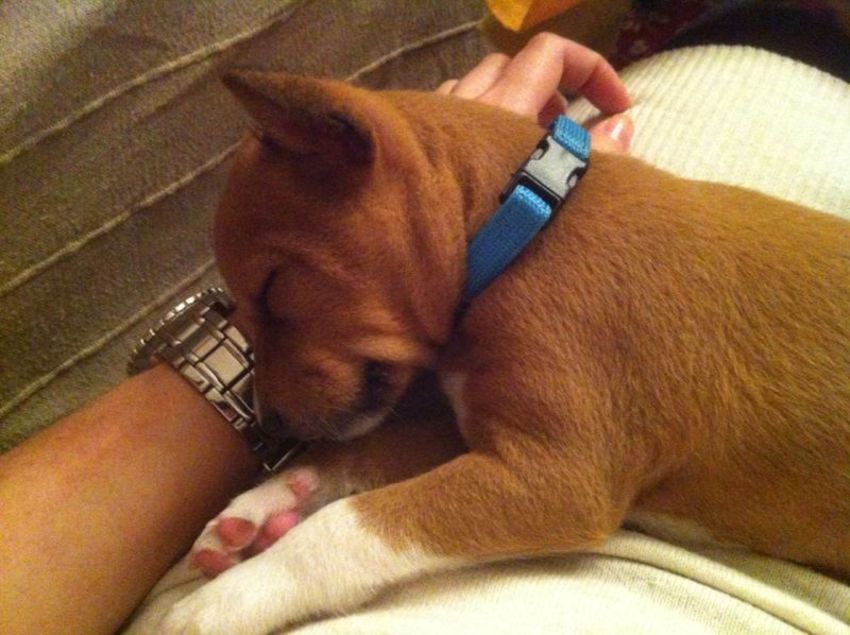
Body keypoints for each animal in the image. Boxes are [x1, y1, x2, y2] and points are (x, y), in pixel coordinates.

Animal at [161, 70, 850, 633]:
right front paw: (267, 504)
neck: (519, 225)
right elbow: (364, 452)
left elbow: (344, 526)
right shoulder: (478, 434)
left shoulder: (557, 475)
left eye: (273, 287)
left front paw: (229, 598)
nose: (269, 426)